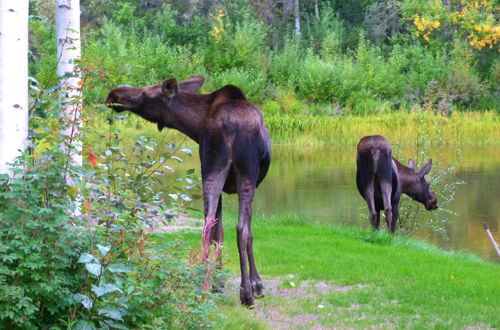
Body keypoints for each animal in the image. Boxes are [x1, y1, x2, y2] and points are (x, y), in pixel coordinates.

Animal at [104, 76, 270, 306]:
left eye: (146, 93)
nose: (113, 94)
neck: (196, 127)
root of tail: (229, 126)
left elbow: (219, 231)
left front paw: (219, 283)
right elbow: (246, 232)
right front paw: (255, 284)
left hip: (213, 170)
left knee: (208, 226)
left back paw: (203, 286)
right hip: (244, 173)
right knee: (239, 229)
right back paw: (244, 293)